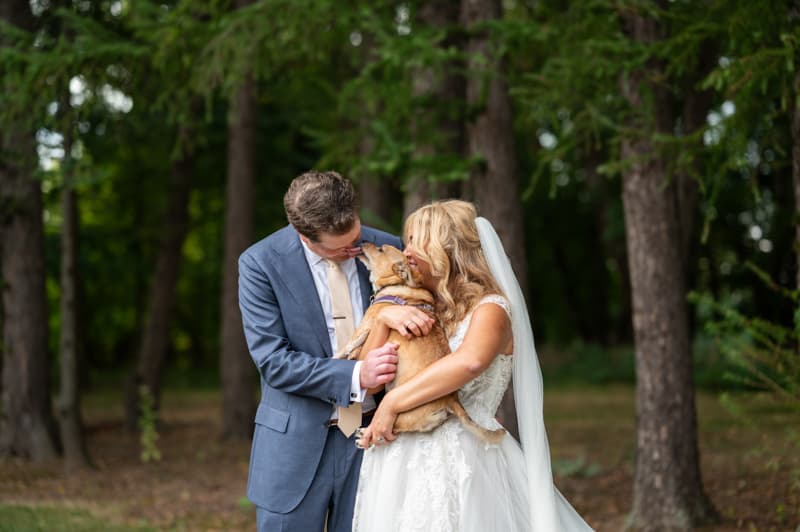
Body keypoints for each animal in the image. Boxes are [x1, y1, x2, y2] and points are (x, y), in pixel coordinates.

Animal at [334, 244, 504, 444]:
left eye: (380, 249)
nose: (363, 242)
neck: (399, 284)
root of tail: (452, 400)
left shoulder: (367, 321)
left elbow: (349, 342)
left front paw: (337, 356)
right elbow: (358, 346)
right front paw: (353, 355)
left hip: (401, 413)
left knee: (391, 428)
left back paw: (365, 436)